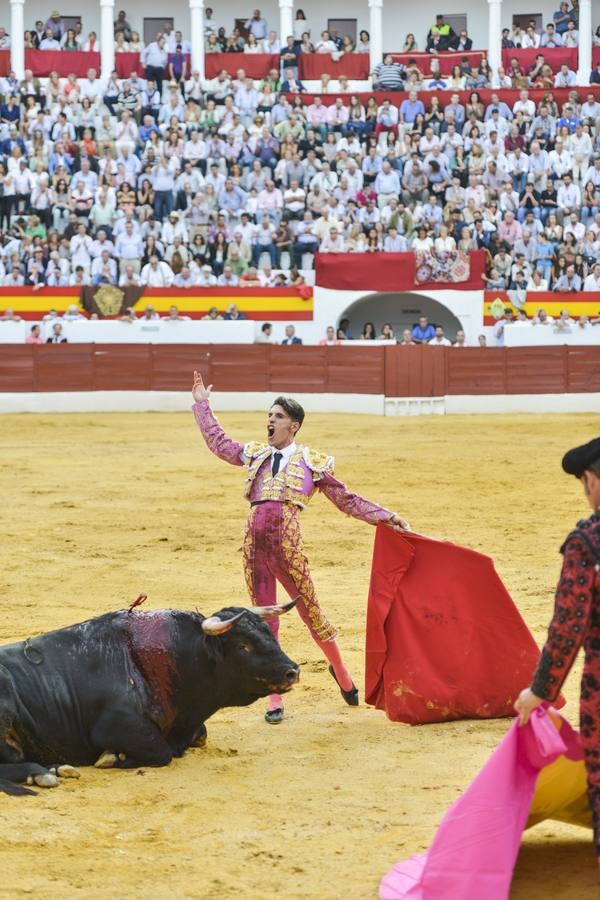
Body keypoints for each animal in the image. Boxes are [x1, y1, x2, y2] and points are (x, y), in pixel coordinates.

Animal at [0, 604, 298, 796]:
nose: (292, 671)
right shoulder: (114, 727)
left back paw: (56, 768)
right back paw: (43, 773)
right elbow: (162, 752)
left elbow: (200, 736)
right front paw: (113, 758)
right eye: (243, 646)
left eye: (268, 633)